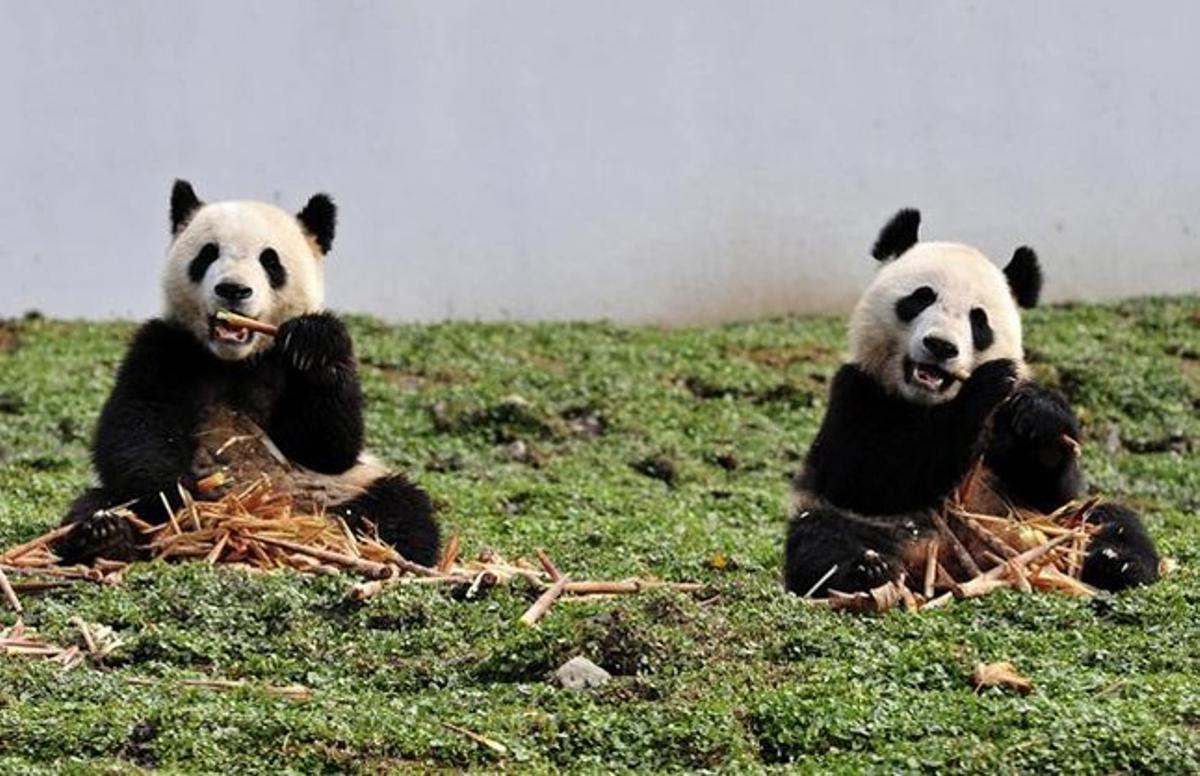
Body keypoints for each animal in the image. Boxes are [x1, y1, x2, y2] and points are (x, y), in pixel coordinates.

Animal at [54, 180, 440, 566]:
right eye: (208, 254)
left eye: (270, 261)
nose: (233, 289)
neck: (236, 360)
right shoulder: (165, 347)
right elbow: (137, 427)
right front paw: (181, 501)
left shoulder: (292, 365)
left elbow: (329, 446)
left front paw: (312, 344)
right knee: (96, 503)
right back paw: (106, 536)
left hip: (344, 486)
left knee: (403, 508)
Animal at [784, 208, 1160, 596]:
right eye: (921, 297)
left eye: (978, 320)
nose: (941, 346)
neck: (929, 402)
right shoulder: (857, 392)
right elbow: (869, 476)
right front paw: (984, 386)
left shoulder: (1018, 460)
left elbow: (1050, 484)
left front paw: (1040, 414)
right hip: (869, 524)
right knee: (822, 535)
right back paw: (866, 569)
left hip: (1047, 520)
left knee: (1111, 519)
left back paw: (1116, 562)